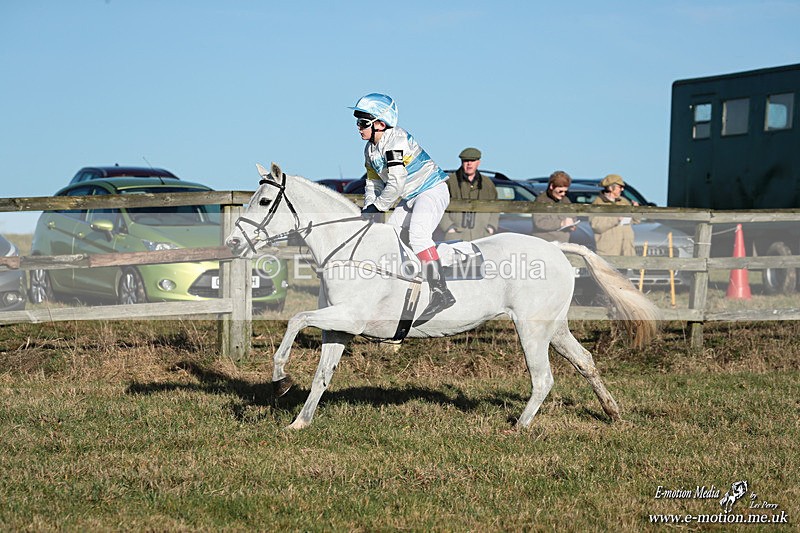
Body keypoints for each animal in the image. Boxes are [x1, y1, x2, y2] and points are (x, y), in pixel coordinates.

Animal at [225, 163, 661, 430]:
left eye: (264, 201)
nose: (232, 243)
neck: (346, 248)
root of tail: (556, 249)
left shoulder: (350, 317)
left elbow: (295, 321)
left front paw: (280, 380)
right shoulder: (339, 327)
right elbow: (321, 375)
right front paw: (300, 421)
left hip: (531, 328)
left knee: (543, 377)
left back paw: (519, 427)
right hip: (554, 326)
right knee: (585, 362)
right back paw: (612, 411)